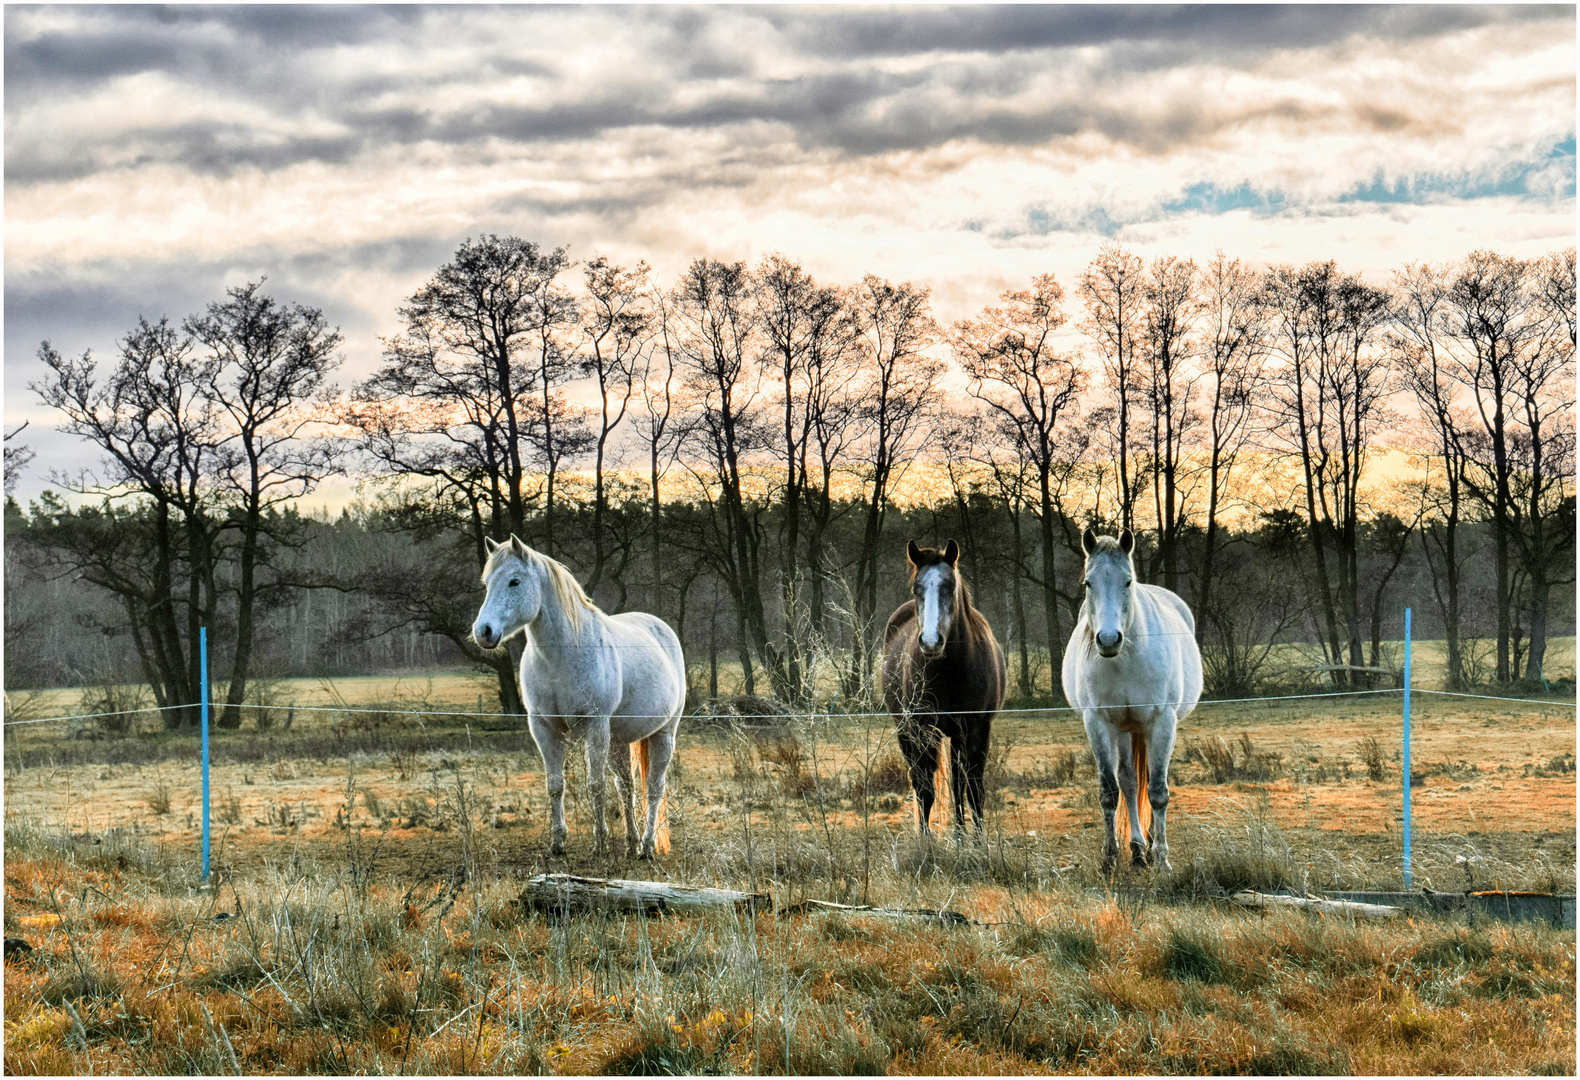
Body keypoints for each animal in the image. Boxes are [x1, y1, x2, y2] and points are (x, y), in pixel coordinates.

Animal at [470, 536, 688, 858]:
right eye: (486, 583)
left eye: (514, 581)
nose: (483, 632)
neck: (560, 657)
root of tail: (661, 629)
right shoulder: (543, 728)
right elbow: (555, 785)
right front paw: (557, 843)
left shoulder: (594, 727)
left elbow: (595, 785)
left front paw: (599, 844)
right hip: (618, 740)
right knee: (626, 786)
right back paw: (631, 842)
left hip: (663, 733)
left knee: (654, 787)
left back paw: (647, 846)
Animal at [884, 536, 1004, 833]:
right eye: (917, 589)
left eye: (949, 587)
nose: (930, 641)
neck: (952, 670)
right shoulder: (923, 729)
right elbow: (926, 791)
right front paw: (926, 842)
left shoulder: (976, 728)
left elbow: (973, 791)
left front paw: (976, 841)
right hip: (906, 731)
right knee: (919, 782)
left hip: (955, 736)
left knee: (958, 785)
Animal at [1068, 527, 1200, 871]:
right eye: (1088, 583)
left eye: (1128, 582)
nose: (1108, 640)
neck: (1125, 656)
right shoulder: (1098, 723)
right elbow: (1110, 791)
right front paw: (1109, 858)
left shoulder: (1162, 722)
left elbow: (1158, 791)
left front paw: (1163, 860)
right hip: (1125, 730)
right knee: (1128, 780)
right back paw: (1138, 848)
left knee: (1150, 781)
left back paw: (1151, 847)